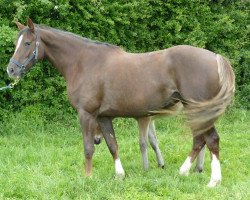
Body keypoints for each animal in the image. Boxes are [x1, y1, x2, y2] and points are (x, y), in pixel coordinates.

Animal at [7, 19, 234, 188]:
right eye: (16, 43)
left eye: (27, 43)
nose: (11, 70)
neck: (83, 63)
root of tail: (215, 57)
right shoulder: (103, 117)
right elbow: (112, 145)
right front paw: (119, 175)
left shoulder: (86, 114)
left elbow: (88, 147)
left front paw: (87, 178)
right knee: (200, 140)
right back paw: (185, 172)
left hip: (197, 110)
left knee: (210, 140)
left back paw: (212, 180)